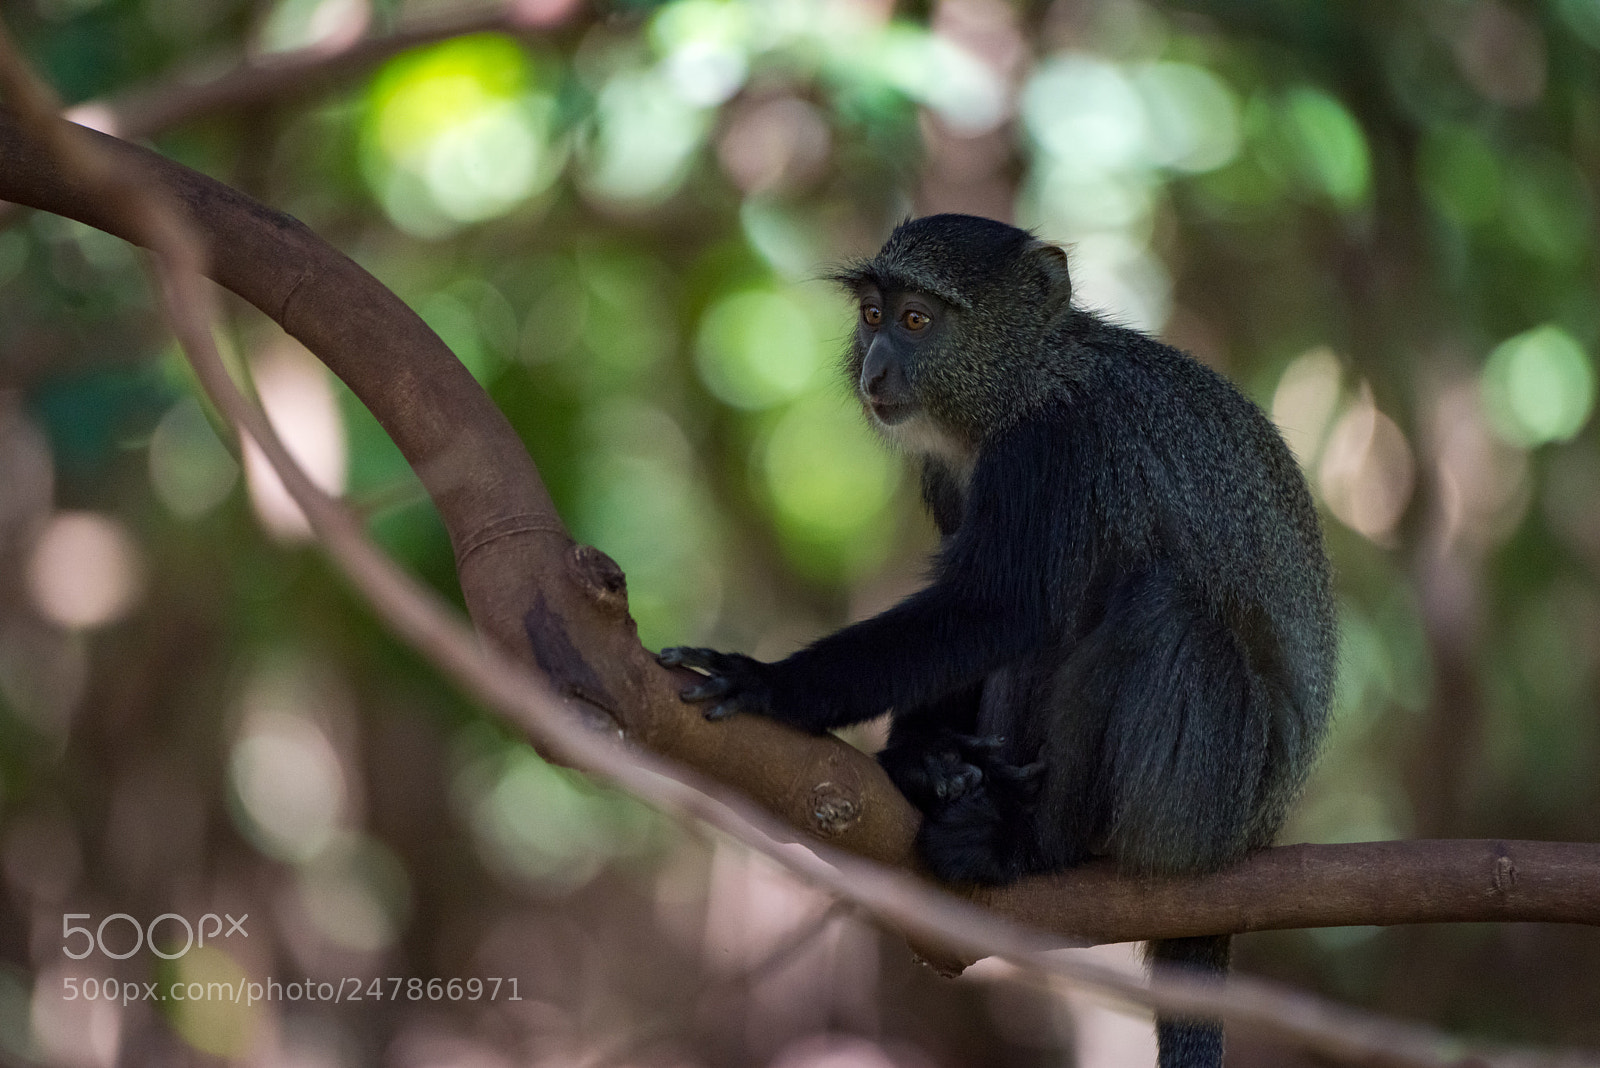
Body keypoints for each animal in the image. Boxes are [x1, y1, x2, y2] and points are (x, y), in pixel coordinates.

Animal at [658, 214, 1337, 1068]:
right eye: (873, 316)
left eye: (918, 320)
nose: (876, 367)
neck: (1025, 381)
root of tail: (1252, 837)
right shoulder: (950, 476)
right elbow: (965, 621)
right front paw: (920, 756)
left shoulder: (1050, 448)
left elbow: (997, 608)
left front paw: (768, 684)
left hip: (1210, 792)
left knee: (1158, 607)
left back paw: (1035, 845)